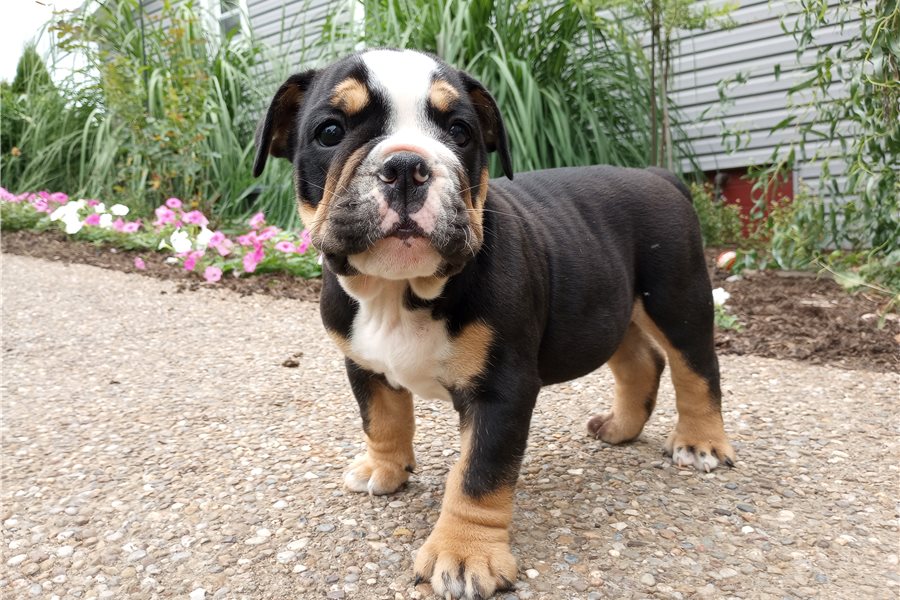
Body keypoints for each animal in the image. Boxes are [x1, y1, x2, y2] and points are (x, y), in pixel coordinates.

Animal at [253, 48, 735, 600]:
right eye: (330, 132)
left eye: (459, 132)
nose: (406, 165)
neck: (399, 291)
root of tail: (659, 176)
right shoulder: (363, 365)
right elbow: (381, 418)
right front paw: (384, 468)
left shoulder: (502, 390)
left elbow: (479, 473)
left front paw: (465, 555)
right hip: (609, 307)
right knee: (639, 361)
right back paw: (620, 428)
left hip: (677, 298)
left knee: (695, 368)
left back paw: (701, 443)